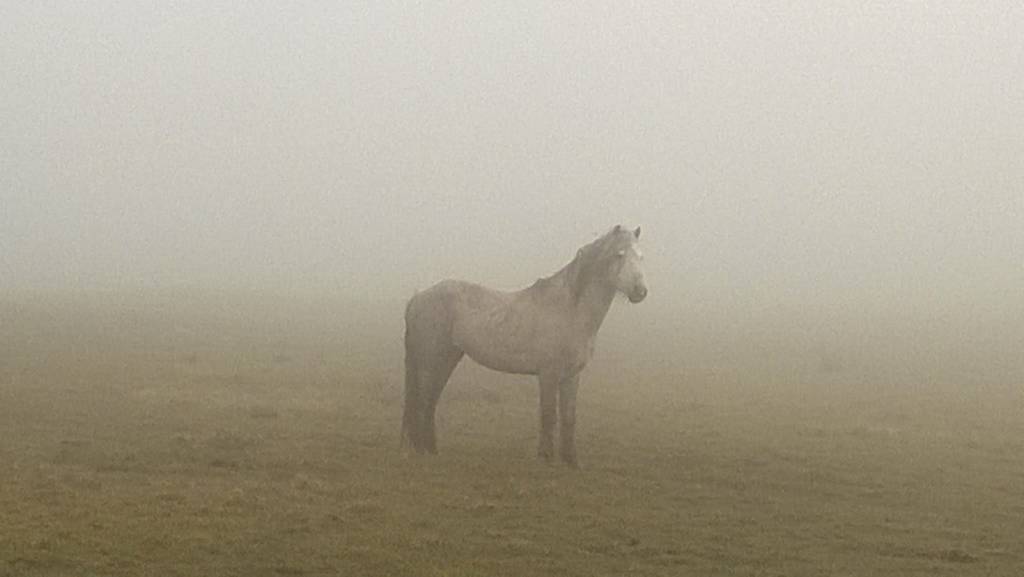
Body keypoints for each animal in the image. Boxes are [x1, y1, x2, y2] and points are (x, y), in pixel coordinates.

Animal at [401, 225, 647, 466]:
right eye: (619, 254)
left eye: (641, 256)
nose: (640, 291)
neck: (569, 311)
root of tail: (417, 298)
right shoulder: (548, 374)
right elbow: (548, 415)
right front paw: (546, 458)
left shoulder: (571, 376)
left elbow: (569, 417)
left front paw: (571, 461)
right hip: (430, 362)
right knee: (422, 401)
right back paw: (421, 450)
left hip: (448, 358)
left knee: (430, 400)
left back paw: (431, 450)